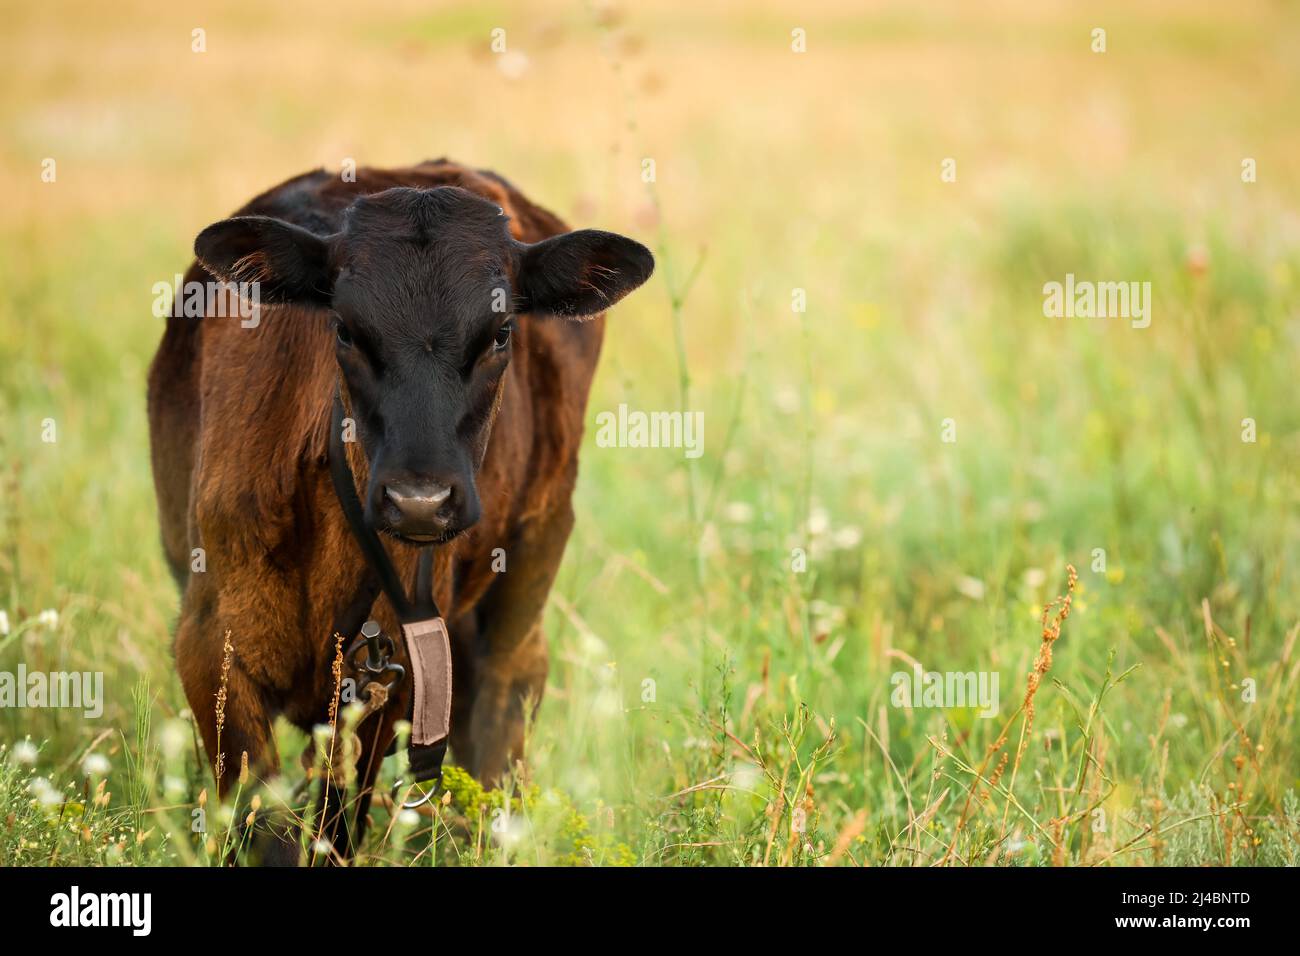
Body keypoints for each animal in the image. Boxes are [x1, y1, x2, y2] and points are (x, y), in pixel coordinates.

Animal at [147, 160, 654, 862]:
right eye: (344, 329)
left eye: (501, 334)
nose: (420, 502)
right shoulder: (208, 645)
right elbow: (263, 825)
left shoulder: (396, 678)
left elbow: (336, 828)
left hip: (535, 551)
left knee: (507, 695)